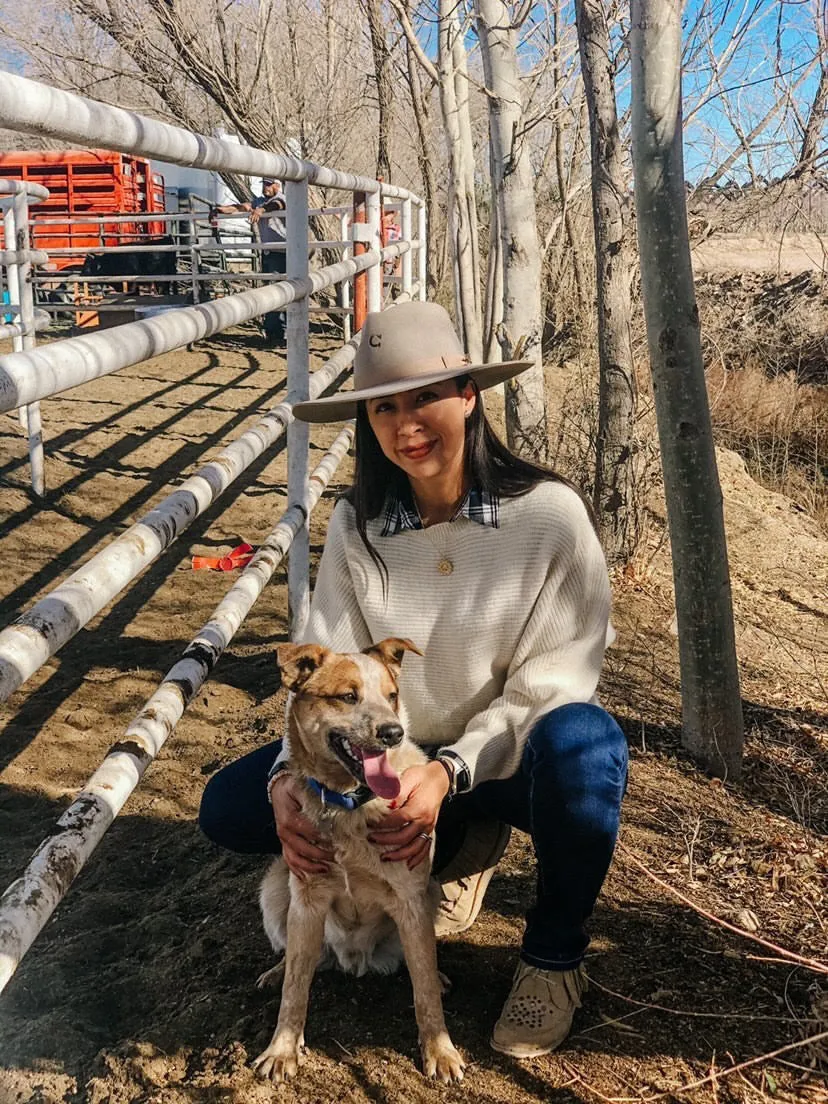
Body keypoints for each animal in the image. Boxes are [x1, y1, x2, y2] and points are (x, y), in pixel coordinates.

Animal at [252, 640, 468, 1086]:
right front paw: (282, 1050)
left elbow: (422, 986)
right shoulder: (307, 899)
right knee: (301, 959)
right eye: (348, 696)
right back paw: (275, 971)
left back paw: (439, 977)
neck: (348, 805)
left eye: (392, 696)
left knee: (418, 962)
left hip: (429, 893)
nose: (393, 732)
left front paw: (440, 1052)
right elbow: (295, 990)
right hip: (276, 885)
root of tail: (354, 960)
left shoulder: (409, 898)